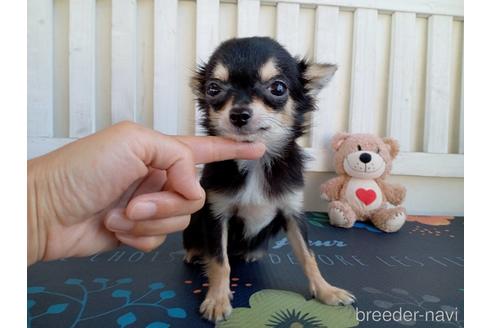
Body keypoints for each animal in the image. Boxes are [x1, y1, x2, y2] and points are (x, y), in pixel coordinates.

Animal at [183, 37, 356, 322]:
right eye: (213, 89)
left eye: (277, 87)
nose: (239, 114)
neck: (255, 162)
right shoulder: (216, 214)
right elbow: (220, 261)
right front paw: (217, 299)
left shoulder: (292, 212)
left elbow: (308, 255)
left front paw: (326, 290)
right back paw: (196, 254)